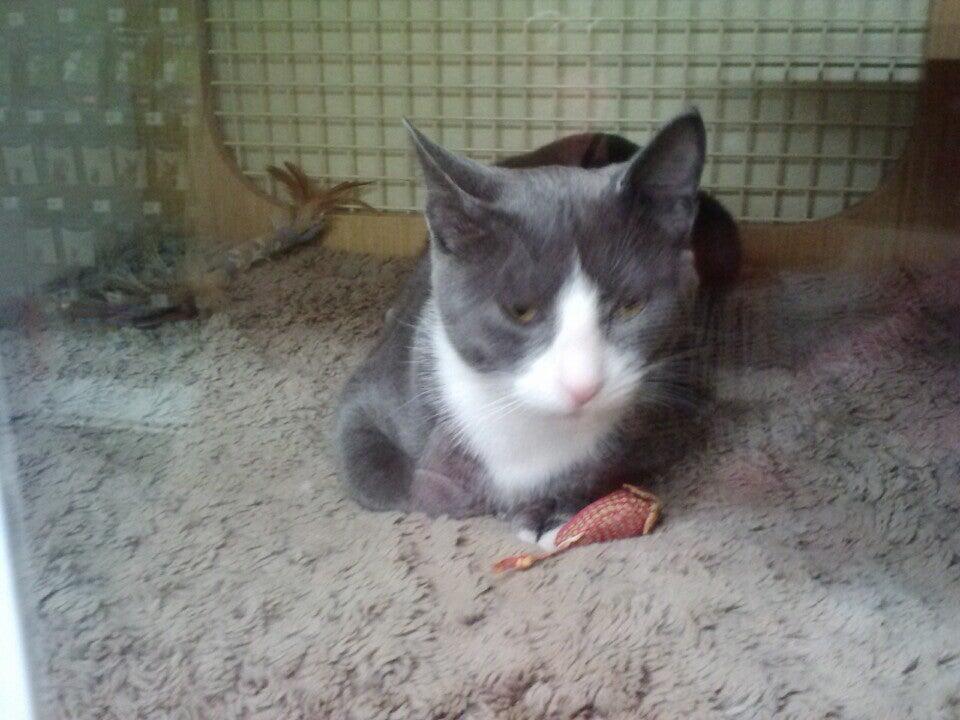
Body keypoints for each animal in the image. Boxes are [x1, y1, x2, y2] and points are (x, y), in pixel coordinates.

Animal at [336, 108, 740, 549]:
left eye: (631, 305)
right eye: (521, 311)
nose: (583, 385)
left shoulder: (660, 412)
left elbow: (611, 466)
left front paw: (548, 510)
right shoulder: (374, 391)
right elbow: (389, 479)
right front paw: (443, 483)